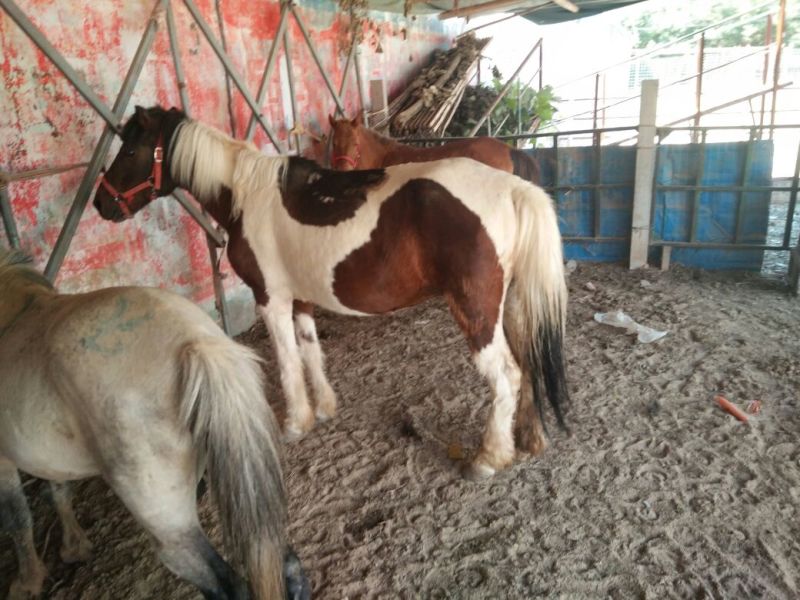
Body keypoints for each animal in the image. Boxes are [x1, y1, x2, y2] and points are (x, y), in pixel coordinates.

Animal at [0, 250, 310, 600]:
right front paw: (74, 545)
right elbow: (57, 488)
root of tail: (194, 341)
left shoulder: (4, 462)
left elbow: (17, 517)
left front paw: (27, 581)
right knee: (287, 566)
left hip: (170, 527)